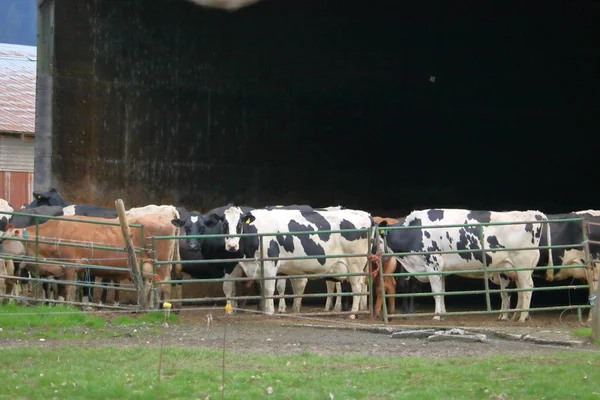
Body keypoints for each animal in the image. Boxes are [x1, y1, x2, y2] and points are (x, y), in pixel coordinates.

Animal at [0, 214, 179, 308]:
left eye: (5, 239)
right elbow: (68, 290)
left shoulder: (69, 266)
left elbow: (66, 289)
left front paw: (65, 307)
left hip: (161, 266)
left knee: (165, 287)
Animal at [209, 206, 372, 318]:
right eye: (225, 224)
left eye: (239, 224)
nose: (231, 246)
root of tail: (366, 214)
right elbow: (259, 290)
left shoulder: (270, 263)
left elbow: (269, 289)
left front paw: (269, 312)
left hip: (355, 264)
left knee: (357, 287)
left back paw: (353, 313)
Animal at [378, 209, 552, 322]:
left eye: (375, 235)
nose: (373, 252)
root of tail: (533, 213)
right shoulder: (440, 269)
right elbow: (442, 292)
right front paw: (443, 314)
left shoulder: (433, 264)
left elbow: (436, 293)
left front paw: (437, 316)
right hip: (515, 268)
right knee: (519, 290)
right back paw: (515, 315)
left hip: (522, 264)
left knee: (527, 287)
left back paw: (522, 317)